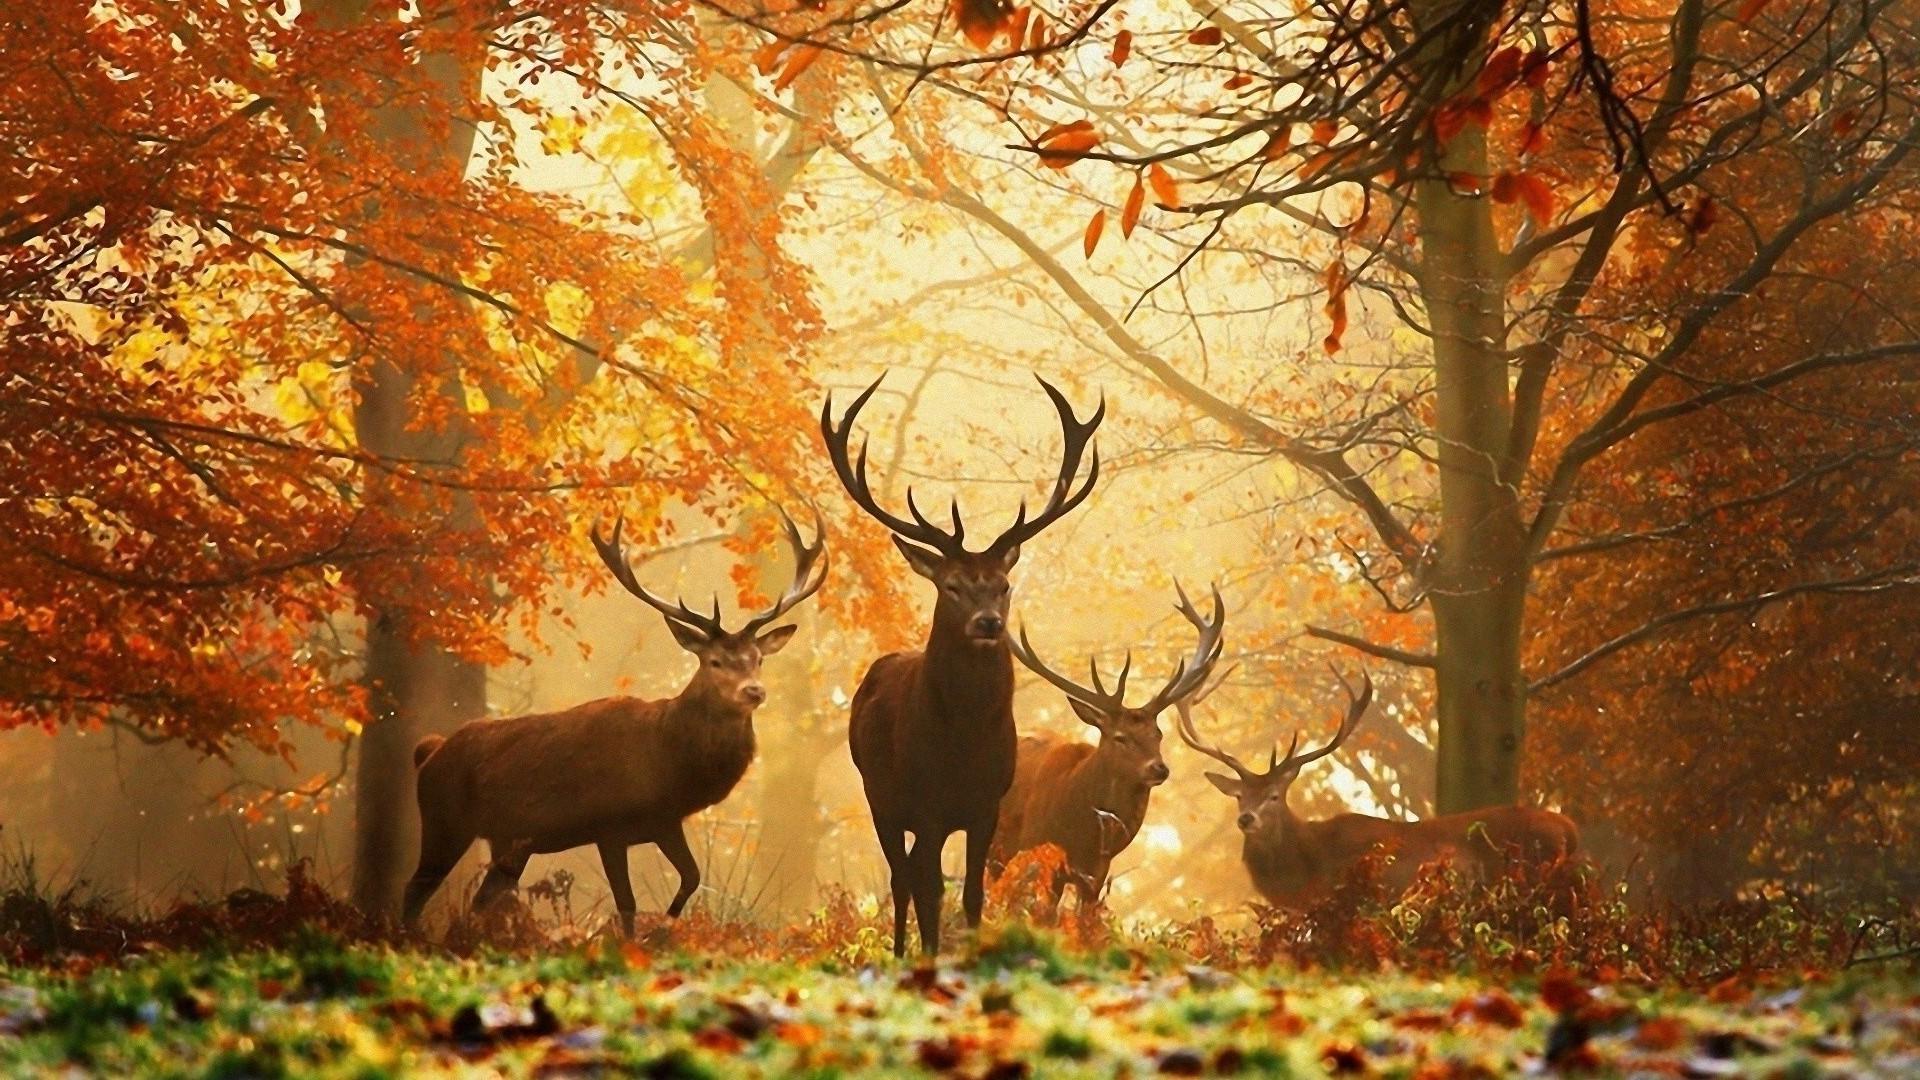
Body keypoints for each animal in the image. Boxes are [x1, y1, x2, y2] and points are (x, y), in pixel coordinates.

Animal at [401, 506, 826, 936]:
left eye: (758, 659)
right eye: (715, 661)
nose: (754, 691)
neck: (668, 763)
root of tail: (429, 752)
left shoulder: (664, 821)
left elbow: (691, 877)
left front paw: (665, 928)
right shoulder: (608, 826)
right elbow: (627, 903)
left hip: (509, 842)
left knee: (480, 900)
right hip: (443, 820)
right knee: (413, 891)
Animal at [820, 373, 1103, 957]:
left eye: (1003, 585)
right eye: (951, 586)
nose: (988, 623)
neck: (962, 746)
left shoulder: (986, 805)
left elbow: (973, 894)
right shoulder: (925, 804)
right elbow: (929, 890)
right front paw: (929, 956)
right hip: (879, 795)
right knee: (901, 878)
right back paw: (900, 952)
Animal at [990, 583, 1226, 914]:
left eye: (1158, 734)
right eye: (1119, 737)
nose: (1159, 768)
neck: (1081, 833)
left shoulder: (1096, 873)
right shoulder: (1038, 851)